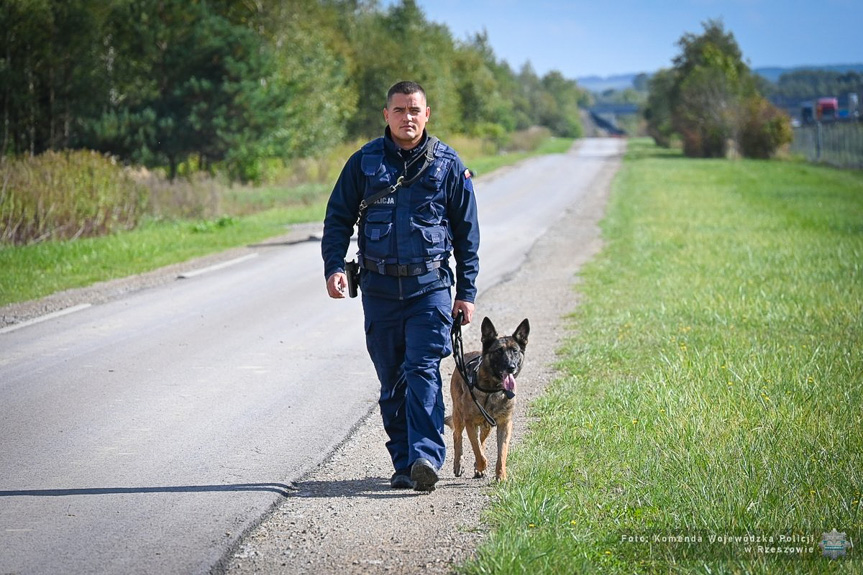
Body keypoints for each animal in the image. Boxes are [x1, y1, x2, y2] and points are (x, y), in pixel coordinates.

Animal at [448, 318, 528, 484]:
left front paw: (501, 475)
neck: (493, 390)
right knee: (457, 436)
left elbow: (501, 453)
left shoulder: (505, 424)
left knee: (482, 440)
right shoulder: (470, 422)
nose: (511, 367)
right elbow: (477, 451)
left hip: (487, 425)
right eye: (498, 351)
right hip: (459, 416)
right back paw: (459, 464)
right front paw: (481, 465)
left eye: (515, 351)